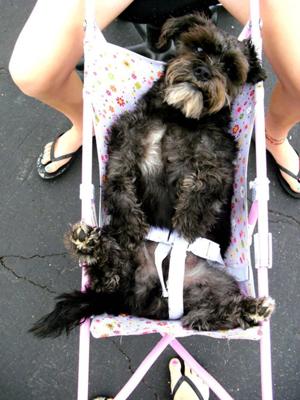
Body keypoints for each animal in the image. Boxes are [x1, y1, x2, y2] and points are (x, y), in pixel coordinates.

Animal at [31, 13, 274, 338]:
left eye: (229, 68)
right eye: (198, 47)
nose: (203, 72)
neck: (178, 116)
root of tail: (142, 298)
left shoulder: (220, 161)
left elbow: (207, 181)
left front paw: (188, 219)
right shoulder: (124, 149)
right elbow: (118, 185)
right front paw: (131, 224)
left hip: (215, 285)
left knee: (203, 316)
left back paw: (250, 310)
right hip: (123, 258)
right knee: (109, 273)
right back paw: (89, 245)